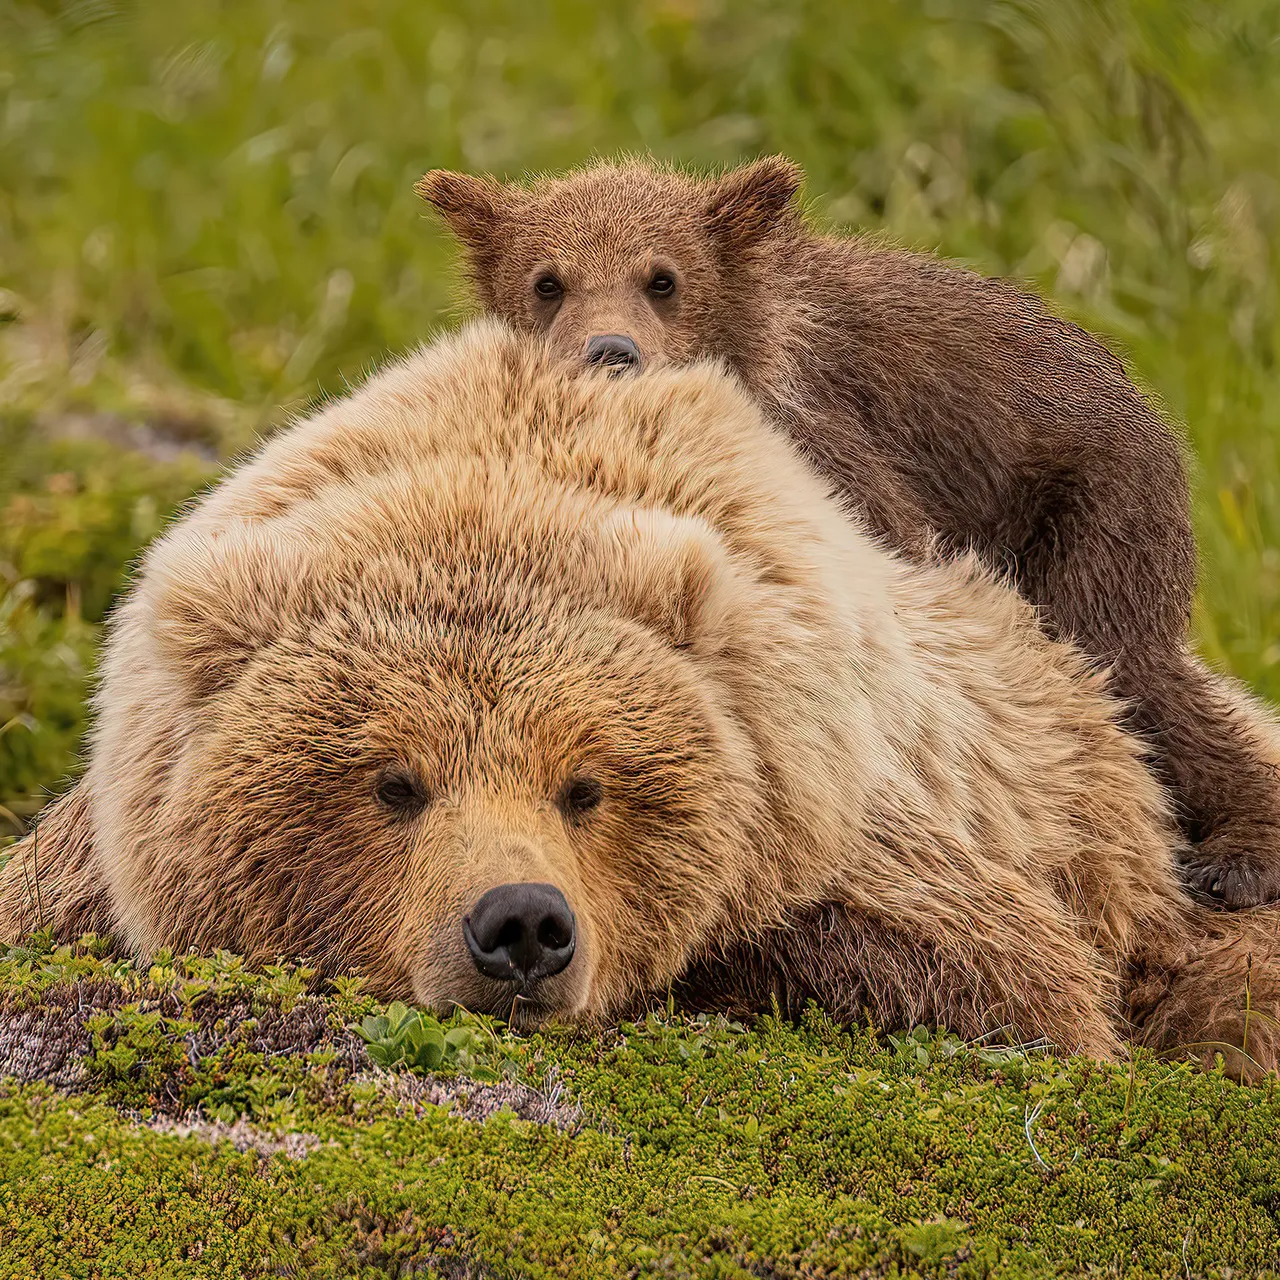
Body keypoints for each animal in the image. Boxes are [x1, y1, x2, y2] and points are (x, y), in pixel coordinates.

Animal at [1, 321, 1277, 1073]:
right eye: (392, 780)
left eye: (586, 784)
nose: (520, 926)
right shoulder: (98, 849)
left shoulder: (848, 801)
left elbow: (1000, 976)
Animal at [416, 156, 1280, 911]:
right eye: (548, 281)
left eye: (663, 278)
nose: (611, 351)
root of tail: (1131, 385)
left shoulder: (833, 447)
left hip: (1090, 507)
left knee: (1130, 672)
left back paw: (1237, 855)